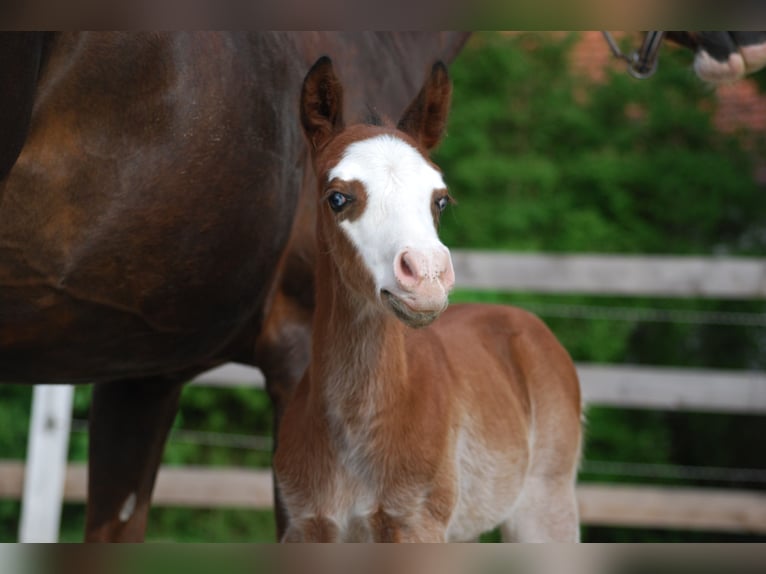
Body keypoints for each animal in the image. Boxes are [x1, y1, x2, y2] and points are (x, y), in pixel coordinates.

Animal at [273, 56, 582, 542]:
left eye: (440, 200)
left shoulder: (415, 524)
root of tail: (526, 323)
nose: (428, 275)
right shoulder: (307, 526)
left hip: (545, 508)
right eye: (337, 197)